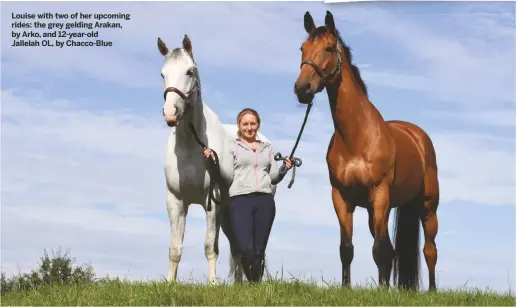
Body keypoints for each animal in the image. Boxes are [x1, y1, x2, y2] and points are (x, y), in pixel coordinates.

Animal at [157, 35, 274, 286]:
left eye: (190, 71)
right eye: (163, 74)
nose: (171, 113)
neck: (191, 147)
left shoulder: (212, 202)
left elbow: (210, 246)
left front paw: (212, 285)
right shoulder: (176, 201)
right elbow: (175, 248)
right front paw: (170, 284)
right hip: (229, 216)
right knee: (238, 249)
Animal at [294, 10, 440, 292]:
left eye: (329, 48)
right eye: (302, 48)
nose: (301, 89)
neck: (356, 138)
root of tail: (418, 136)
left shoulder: (379, 194)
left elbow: (379, 249)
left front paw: (382, 292)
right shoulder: (341, 197)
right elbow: (347, 248)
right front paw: (347, 288)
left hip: (426, 207)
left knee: (429, 250)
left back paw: (431, 290)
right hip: (379, 211)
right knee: (393, 250)